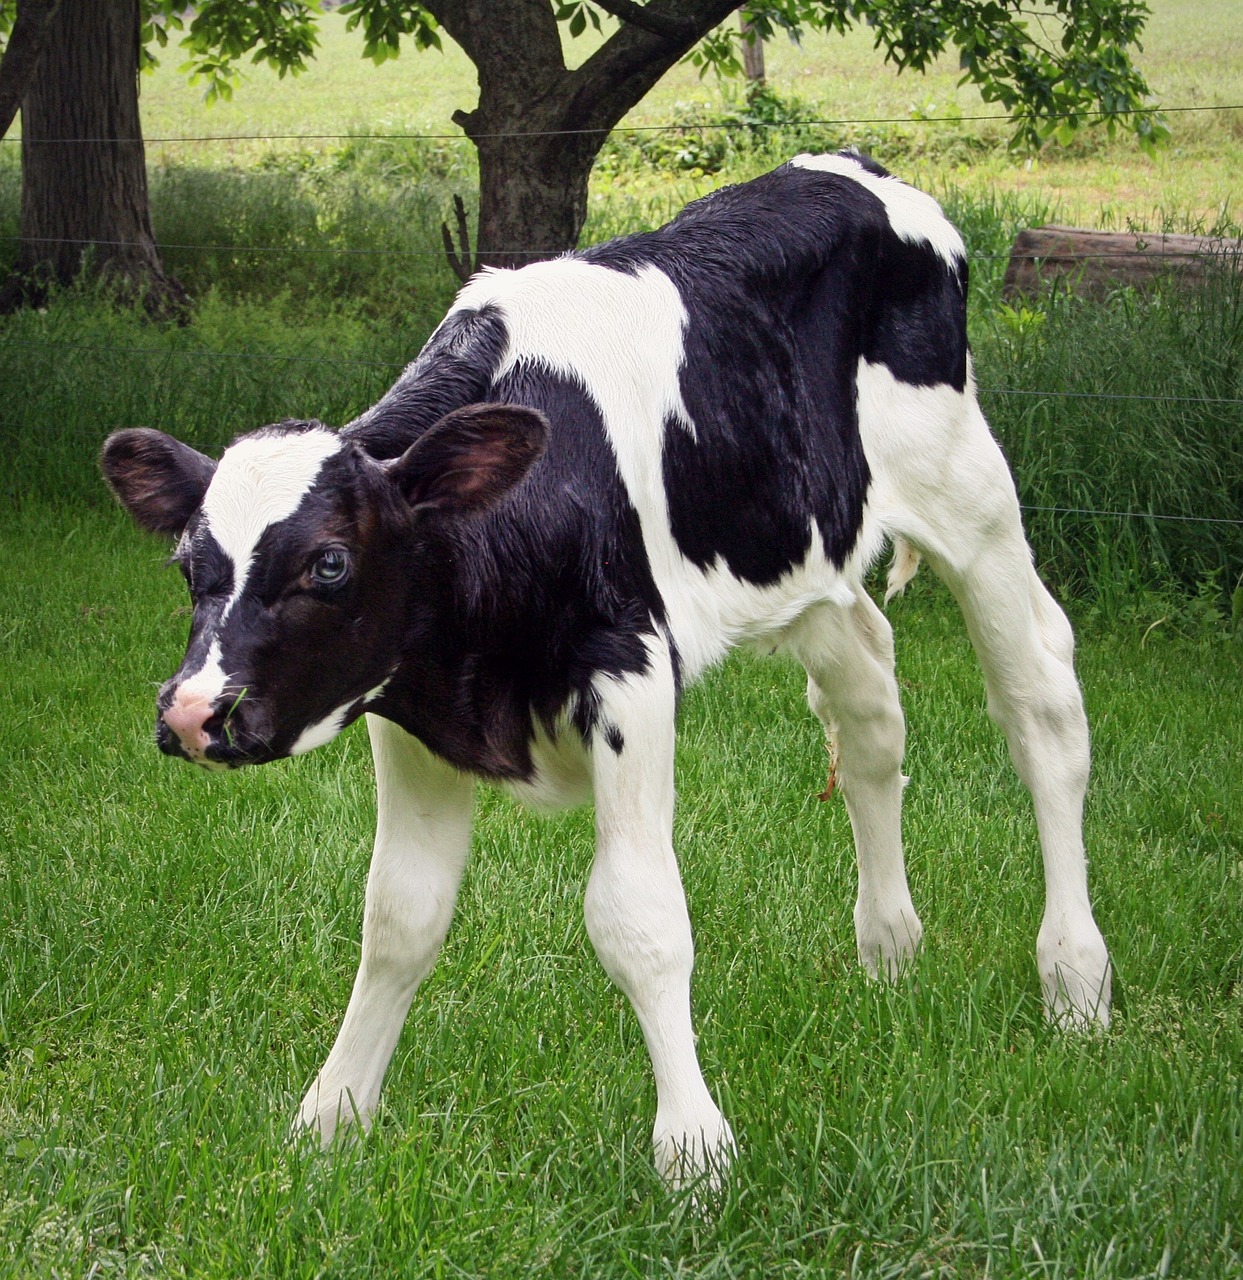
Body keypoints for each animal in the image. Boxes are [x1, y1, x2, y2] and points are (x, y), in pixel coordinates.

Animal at [101, 154, 1111, 1182]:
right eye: (186, 565)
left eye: (329, 563)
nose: (191, 713)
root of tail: (852, 169)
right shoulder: (407, 707)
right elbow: (398, 919)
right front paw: (332, 1119)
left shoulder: (629, 672)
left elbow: (638, 919)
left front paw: (693, 1150)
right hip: (807, 557)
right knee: (869, 706)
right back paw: (890, 953)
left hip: (970, 494)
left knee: (1041, 707)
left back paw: (1075, 982)